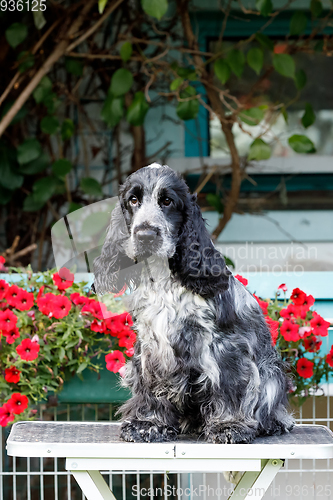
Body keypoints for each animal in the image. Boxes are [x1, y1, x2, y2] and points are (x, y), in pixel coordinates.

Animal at [93, 162, 294, 444]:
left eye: (167, 201)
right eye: (133, 200)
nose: (145, 235)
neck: (164, 281)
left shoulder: (224, 346)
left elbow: (229, 385)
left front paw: (228, 425)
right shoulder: (151, 346)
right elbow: (150, 388)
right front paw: (148, 424)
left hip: (270, 373)